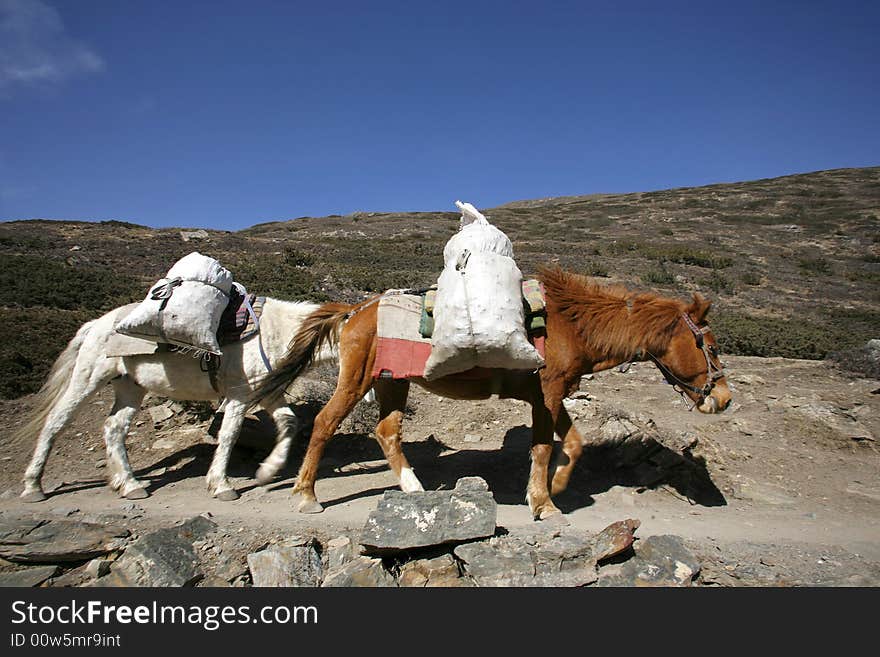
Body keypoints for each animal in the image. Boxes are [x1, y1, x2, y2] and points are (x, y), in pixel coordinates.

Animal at [18, 298, 334, 502]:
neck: (278, 331)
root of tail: (95, 324)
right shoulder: (239, 396)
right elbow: (229, 435)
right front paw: (221, 485)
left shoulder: (267, 393)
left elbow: (289, 423)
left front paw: (268, 471)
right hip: (88, 379)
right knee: (56, 421)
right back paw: (33, 487)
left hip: (131, 387)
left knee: (114, 428)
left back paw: (129, 485)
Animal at [253, 266, 728, 516]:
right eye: (710, 346)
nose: (722, 399)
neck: (571, 324)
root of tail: (355, 309)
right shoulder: (548, 395)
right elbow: (543, 447)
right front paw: (543, 502)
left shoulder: (551, 395)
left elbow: (573, 444)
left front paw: (556, 488)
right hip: (358, 380)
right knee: (324, 423)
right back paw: (306, 495)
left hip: (391, 383)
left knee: (387, 432)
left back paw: (415, 489)